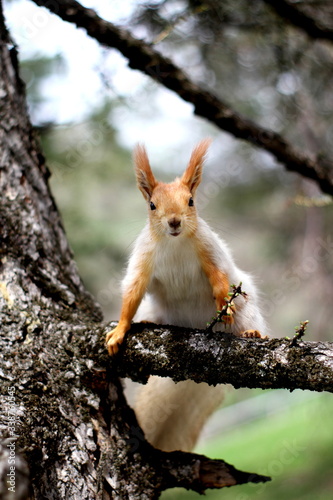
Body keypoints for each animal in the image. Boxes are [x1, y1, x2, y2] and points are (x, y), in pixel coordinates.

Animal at [105, 140, 266, 454]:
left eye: (191, 201)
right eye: (151, 205)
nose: (175, 222)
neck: (175, 244)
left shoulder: (209, 249)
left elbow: (219, 278)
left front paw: (222, 302)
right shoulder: (143, 259)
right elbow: (133, 292)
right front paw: (120, 330)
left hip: (246, 306)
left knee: (248, 321)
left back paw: (252, 333)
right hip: (156, 311)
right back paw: (146, 324)